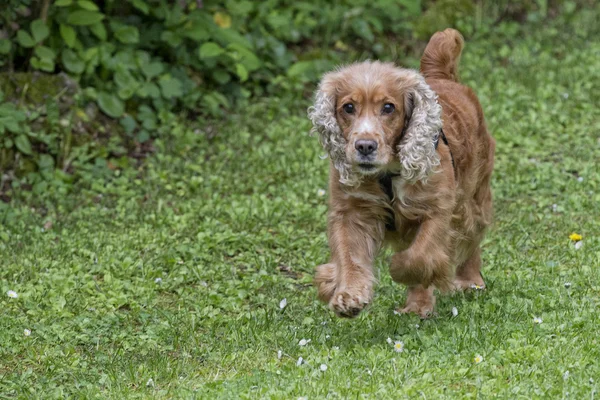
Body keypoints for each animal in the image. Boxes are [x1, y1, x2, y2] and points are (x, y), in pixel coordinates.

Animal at [308, 28, 494, 318]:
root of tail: (441, 77)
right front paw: (347, 295)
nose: (365, 146)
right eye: (348, 107)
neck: (386, 174)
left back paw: (468, 281)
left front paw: (397, 268)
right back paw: (418, 306)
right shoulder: (350, 211)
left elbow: (418, 257)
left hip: (474, 194)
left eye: (388, 107)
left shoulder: (437, 209)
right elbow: (350, 257)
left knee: (471, 237)